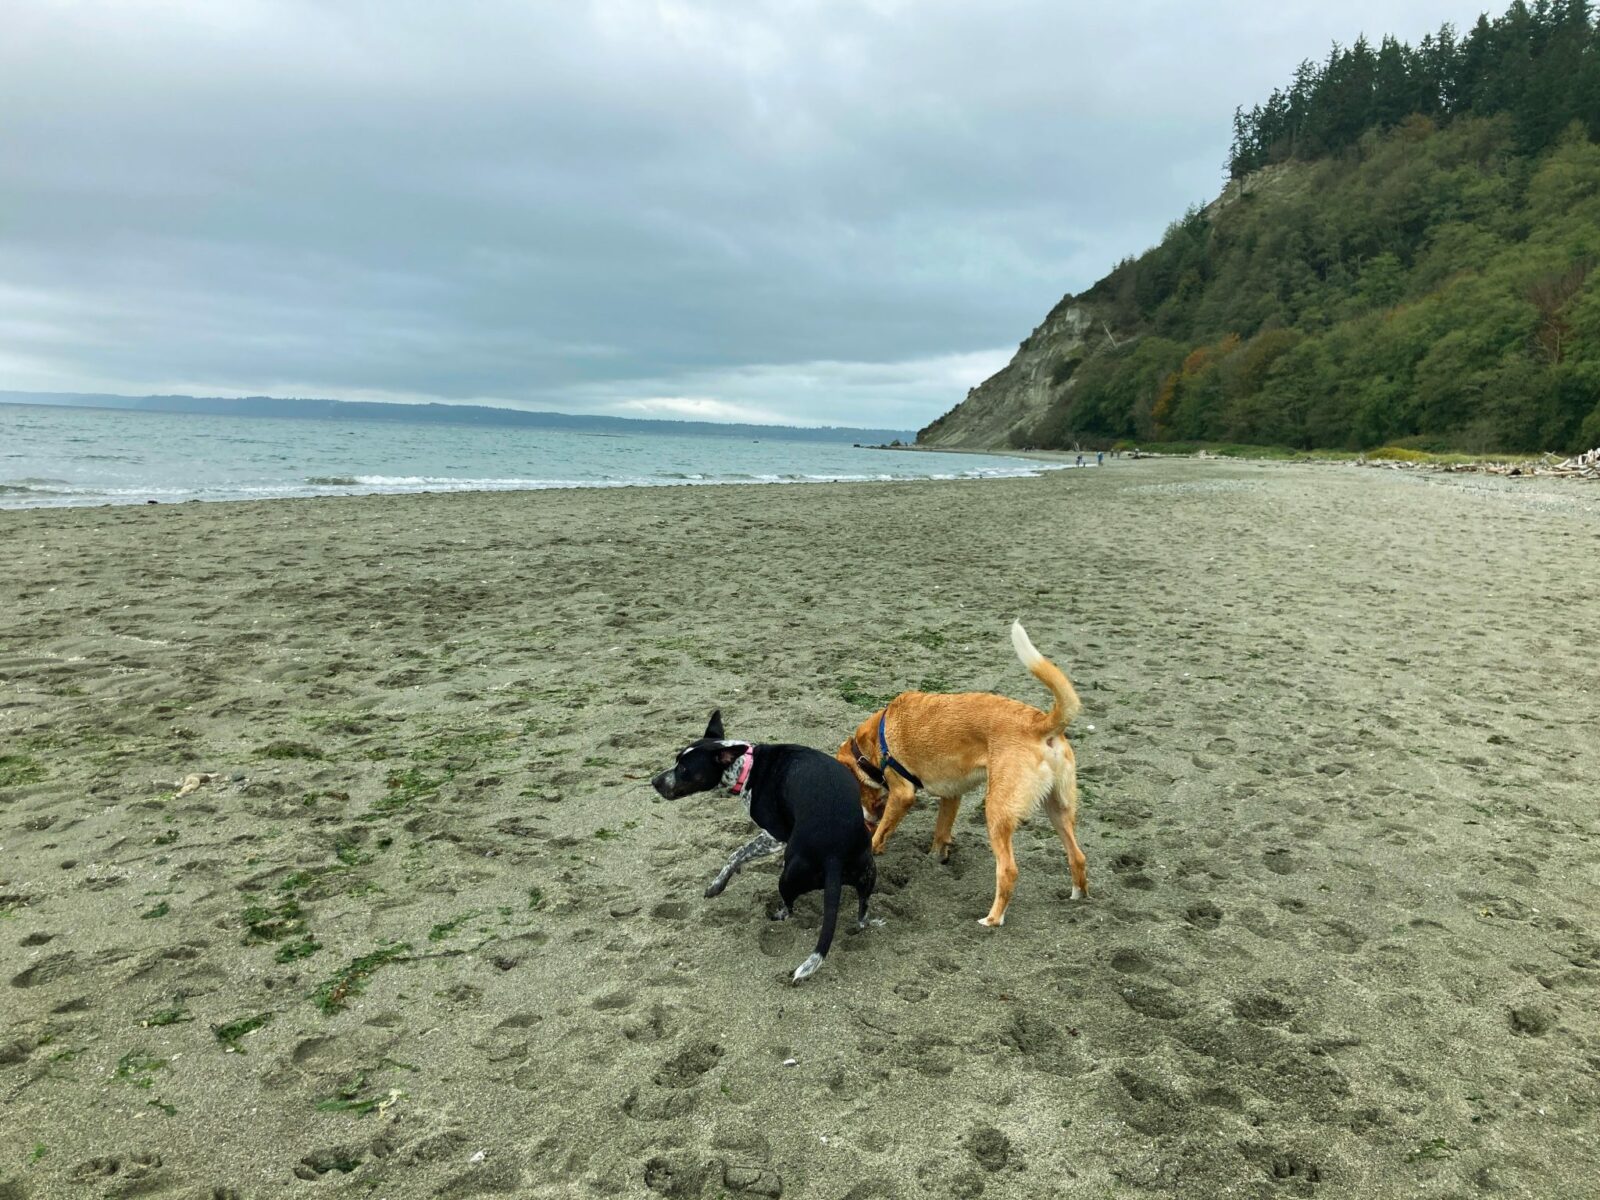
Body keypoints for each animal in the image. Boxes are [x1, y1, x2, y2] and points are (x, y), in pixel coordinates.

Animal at [649, 713, 876, 985]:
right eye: (675, 761)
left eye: (684, 770)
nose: (654, 781)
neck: (747, 766)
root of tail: (835, 854)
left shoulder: (776, 836)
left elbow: (737, 853)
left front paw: (717, 883)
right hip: (867, 873)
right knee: (863, 911)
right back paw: (863, 923)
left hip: (788, 878)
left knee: (788, 908)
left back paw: (775, 913)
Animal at [838, 624, 1088, 928]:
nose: (868, 819)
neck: (874, 742)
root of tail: (1039, 722)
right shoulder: (951, 795)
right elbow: (941, 831)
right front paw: (934, 859)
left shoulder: (902, 795)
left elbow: (883, 830)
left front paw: (873, 848)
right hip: (1058, 808)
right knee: (1077, 856)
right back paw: (1077, 896)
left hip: (997, 810)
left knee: (1008, 870)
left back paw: (992, 919)